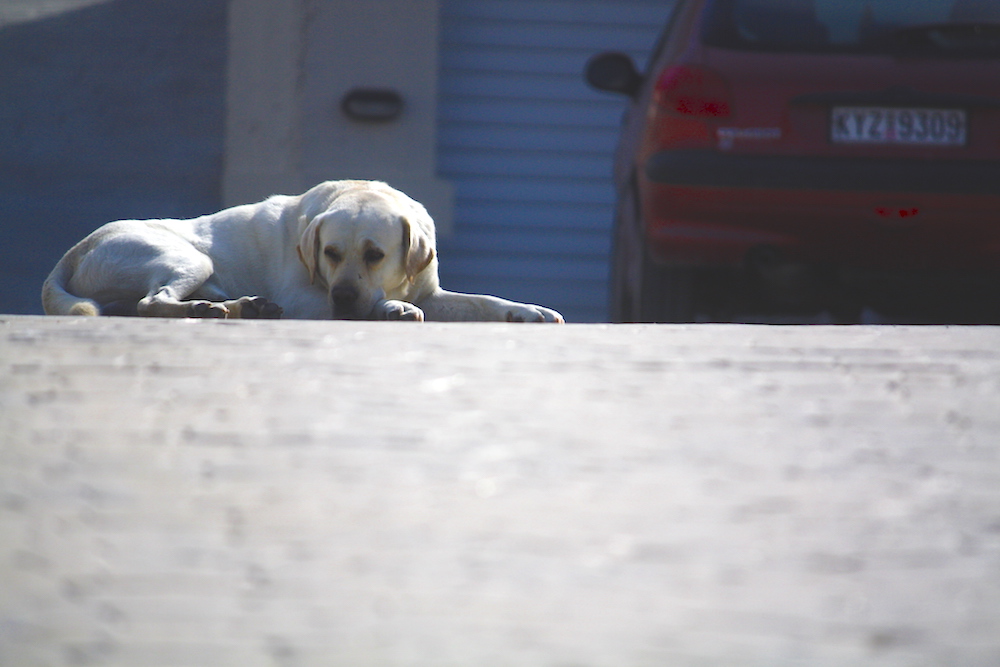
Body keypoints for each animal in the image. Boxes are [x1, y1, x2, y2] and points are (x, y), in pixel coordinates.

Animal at [41, 177, 564, 324]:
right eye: (330, 253)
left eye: (375, 254)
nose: (344, 298)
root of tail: (76, 248)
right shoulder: (305, 295)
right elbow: (375, 303)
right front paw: (389, 308)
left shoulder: (433, 293)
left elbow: (485, 301)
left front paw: (528, 311)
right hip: (188, 257)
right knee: (152, 303)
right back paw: (208, 310)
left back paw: (243, 306)